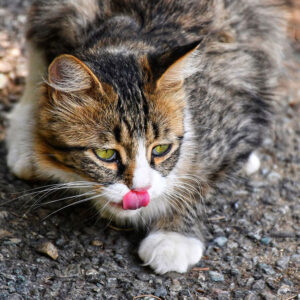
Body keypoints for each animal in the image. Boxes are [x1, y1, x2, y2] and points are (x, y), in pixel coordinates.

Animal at [5, 0, 286, 274]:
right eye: (106, 154)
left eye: (161, 149)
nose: (140, 190)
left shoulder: (241, 101)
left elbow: (202, 182)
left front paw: (174, 236)